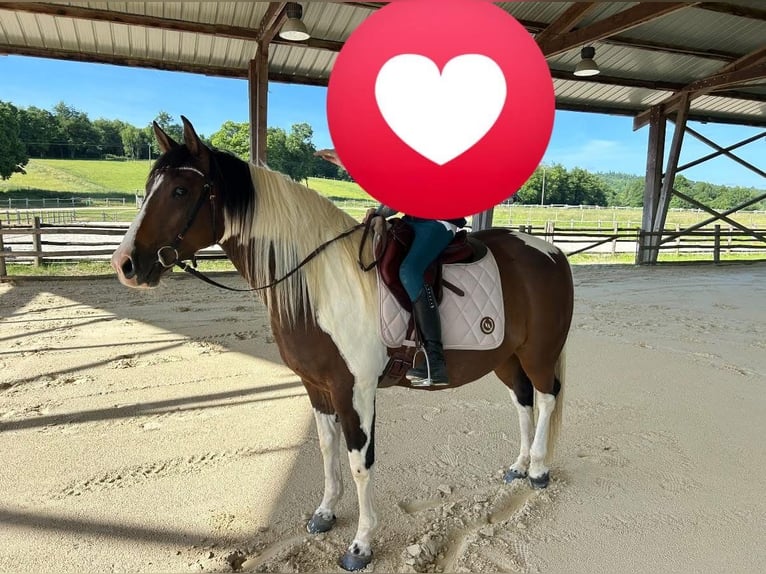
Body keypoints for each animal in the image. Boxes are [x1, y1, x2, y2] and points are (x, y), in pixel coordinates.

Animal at [111, 117, 574, 571]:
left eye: (180, 190)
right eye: (150, 186)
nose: (125, 264)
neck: (320, 282)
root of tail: (551, 251)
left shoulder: (356, 390)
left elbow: (359, 463)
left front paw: (361, 545)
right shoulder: (317, 387)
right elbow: (326, 449)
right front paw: (325, 513)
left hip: (538, 353)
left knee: (547, 397)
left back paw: (538, 470)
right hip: (506, 356)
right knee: (523, 399)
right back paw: (518, 466)